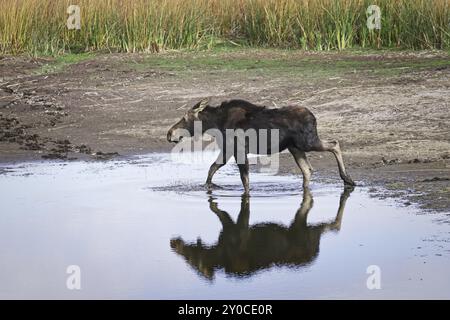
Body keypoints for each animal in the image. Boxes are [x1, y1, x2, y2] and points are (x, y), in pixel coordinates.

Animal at [166, 98, 356, 192]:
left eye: (184, 118)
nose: (169, 133)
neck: (215, 124)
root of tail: (314, 117)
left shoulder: (238, 150)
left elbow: (245, 179)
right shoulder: (228, 149)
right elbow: (212, 168)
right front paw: (207, 186)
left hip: (307, 142)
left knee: (334, 143)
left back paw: (347, 179)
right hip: (295, 148)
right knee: (308, 170)